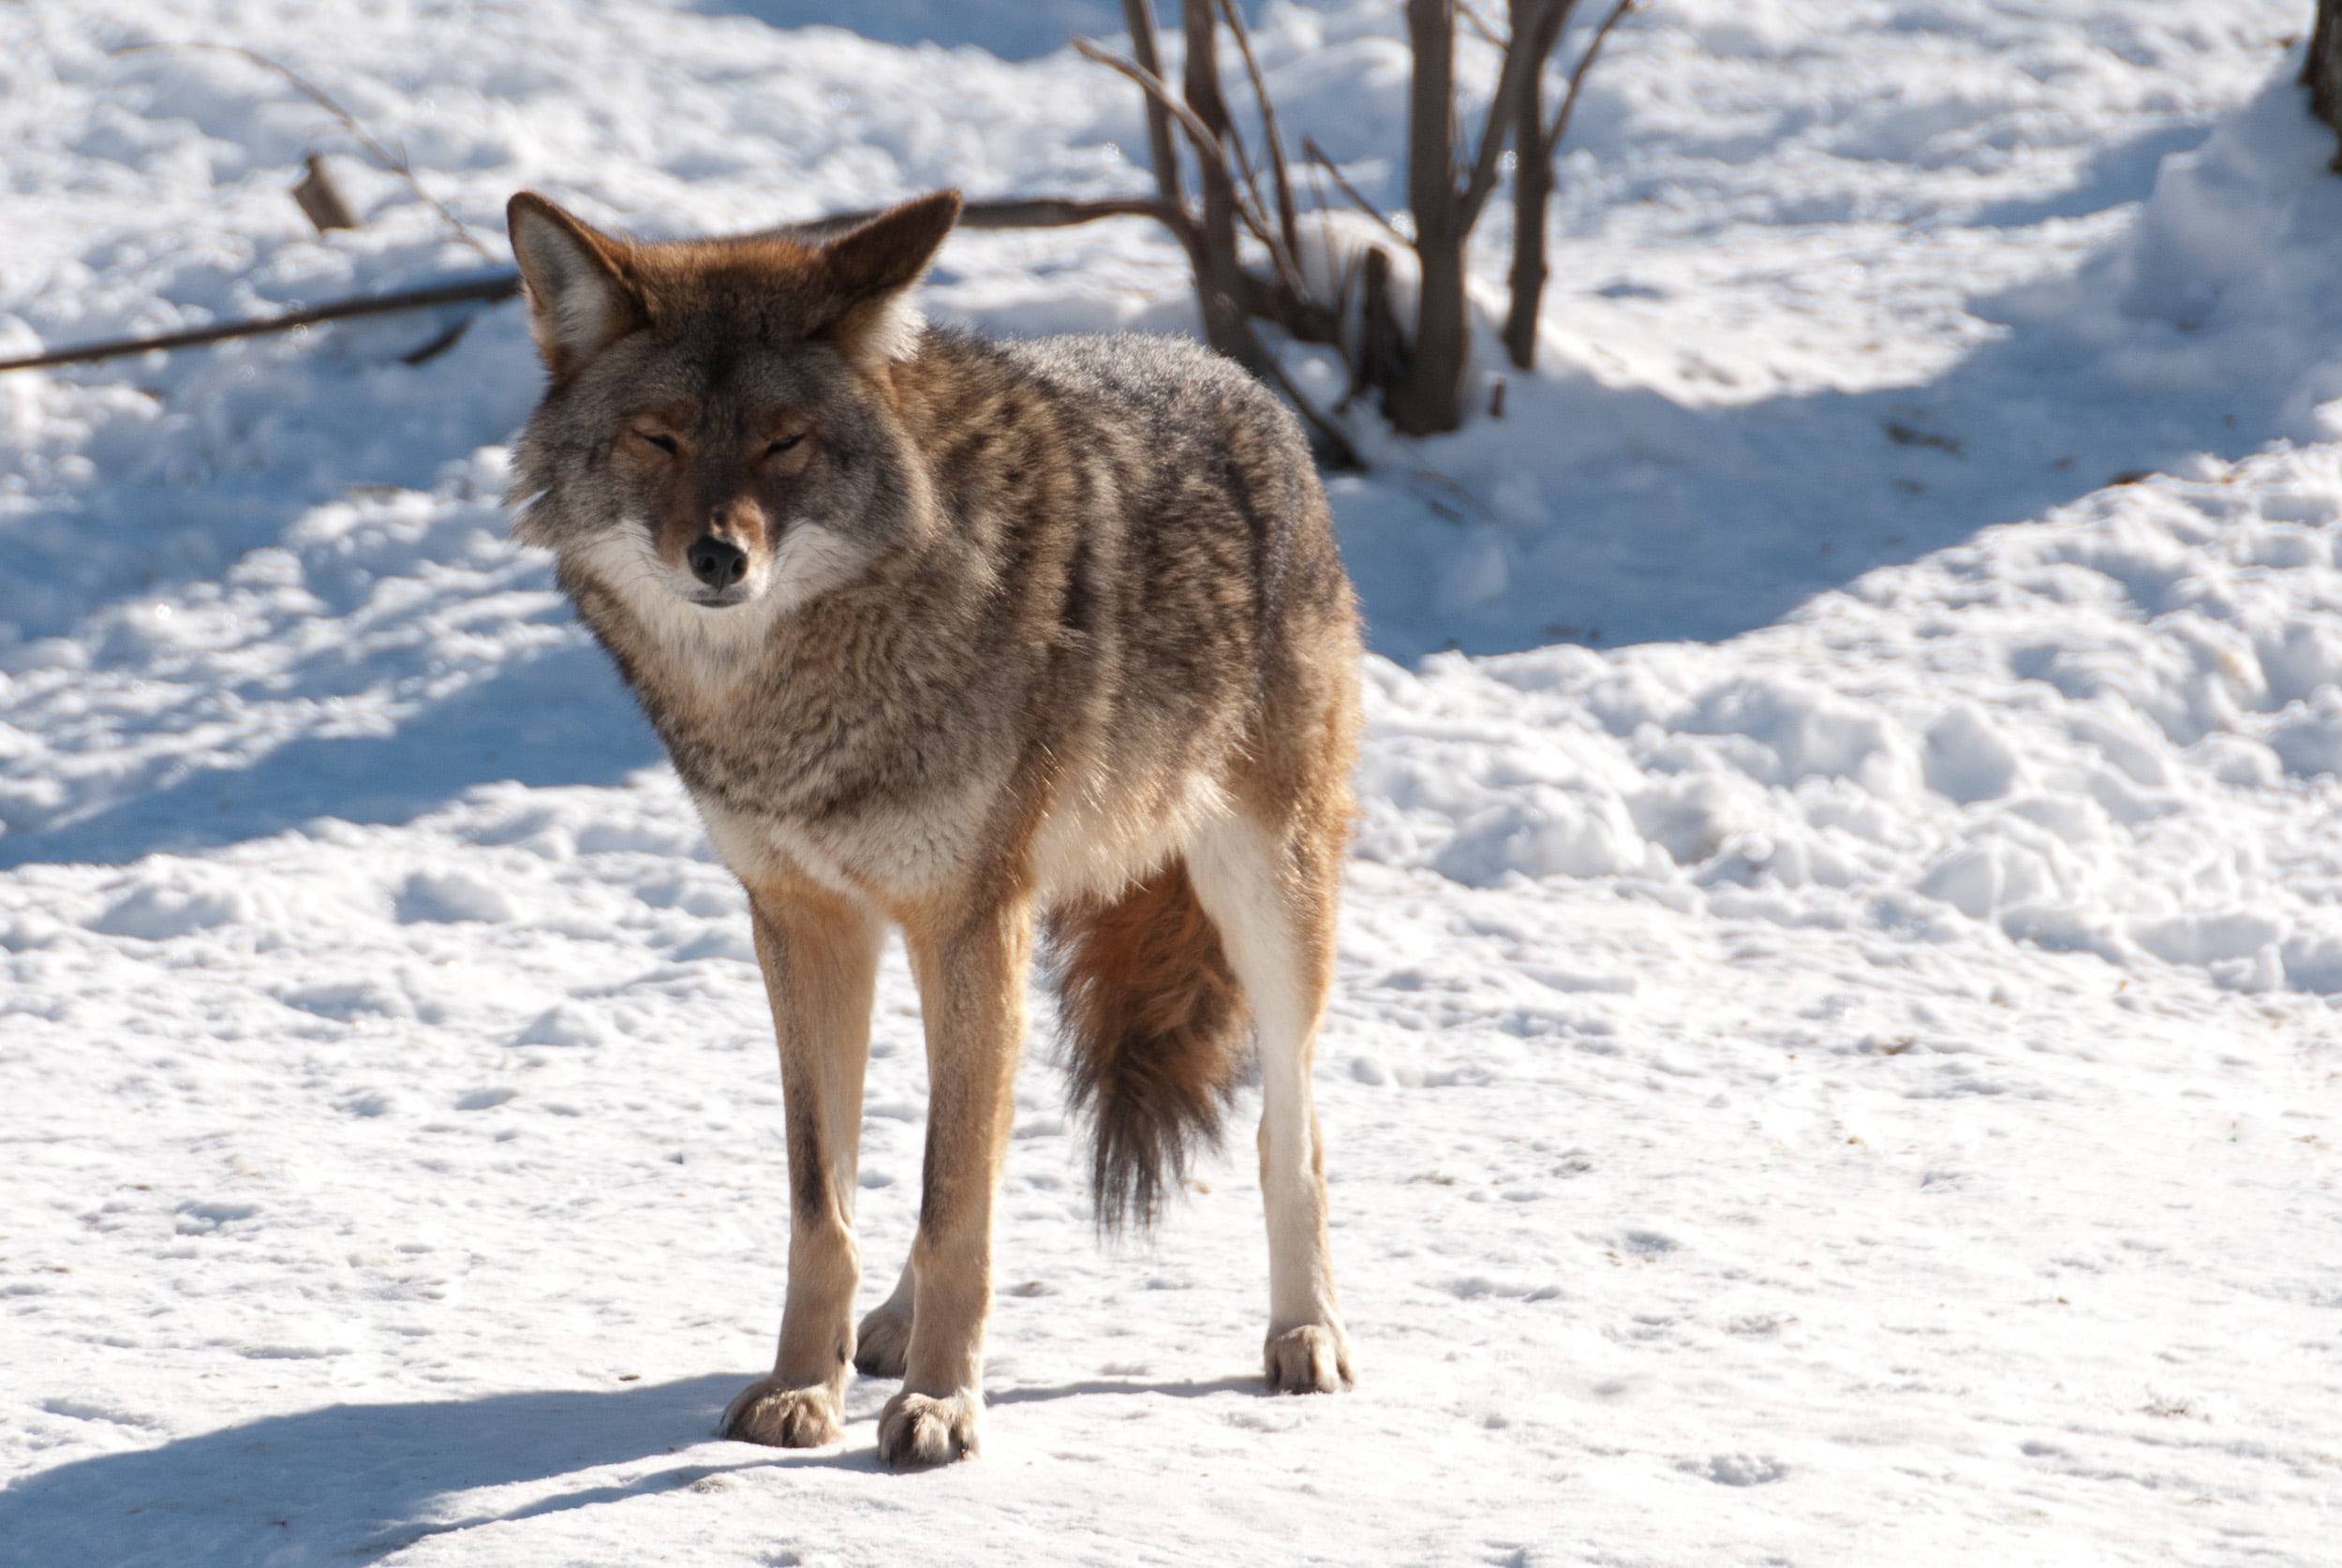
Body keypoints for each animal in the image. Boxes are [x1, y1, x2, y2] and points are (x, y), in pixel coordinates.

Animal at [504, 186, 1360, 1468]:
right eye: (658, 439)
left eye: (784, 443)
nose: (718, 556)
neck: (798, 700)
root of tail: (1240, 384)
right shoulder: (804, 922)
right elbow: (833, 1199)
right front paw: (803, 1386)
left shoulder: (968, 919)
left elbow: (954, 1200)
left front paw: (945, 1406)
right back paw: (894, 1328)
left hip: (1259, 896)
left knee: (1286, 1134)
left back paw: (1305, 1337)